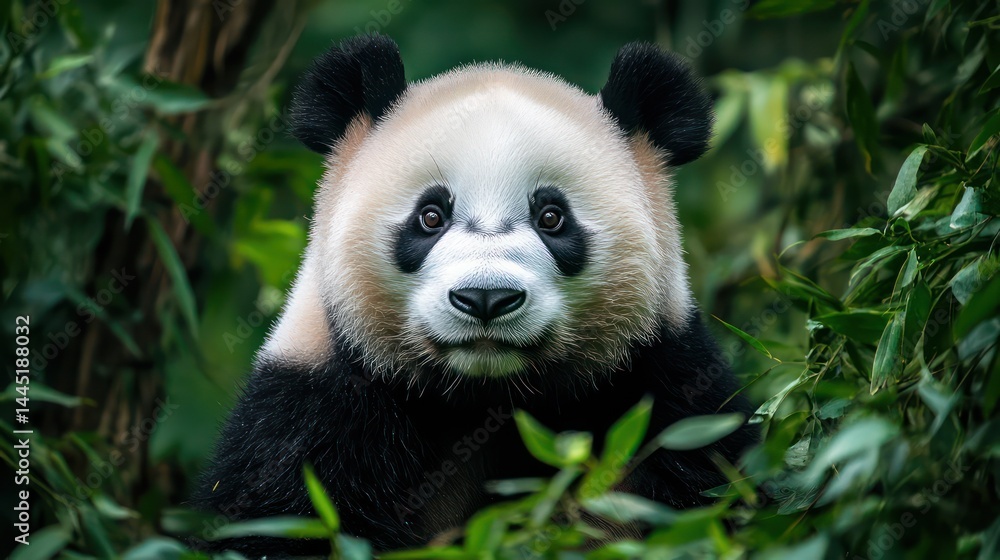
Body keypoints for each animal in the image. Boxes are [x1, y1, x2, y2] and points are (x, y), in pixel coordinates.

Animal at [193, 33, 756, 556]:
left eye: (551, 217)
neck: (485, 397)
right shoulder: (314, 405)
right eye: (430, 216)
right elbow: (281, 517)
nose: (486, 298)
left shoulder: (670, 391)